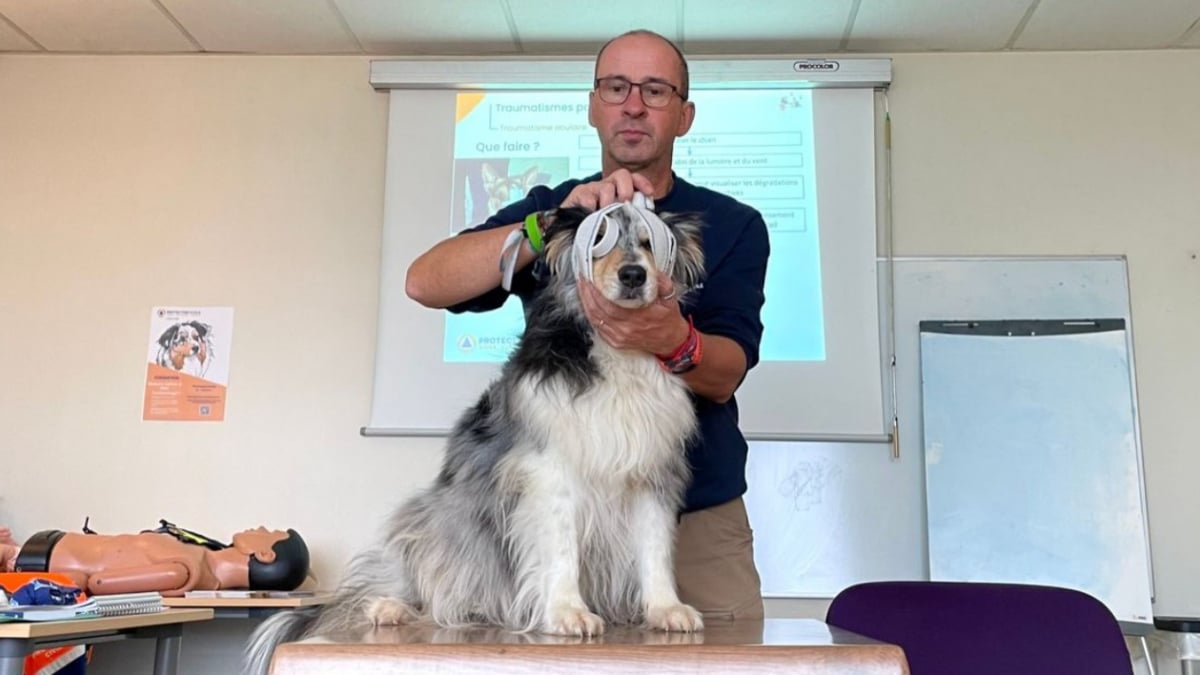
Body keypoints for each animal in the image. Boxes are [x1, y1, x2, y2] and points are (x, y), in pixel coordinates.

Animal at [247, 201, 705, 667]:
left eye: (649, 243)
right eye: (599, 241)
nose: (633, 275)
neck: (615, 356)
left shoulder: (651, 471)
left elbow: (654, 548)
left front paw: (665, 608)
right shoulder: (550, 474)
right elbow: (562, 549)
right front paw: (567, 611)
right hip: (441, 514)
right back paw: (390, 607)